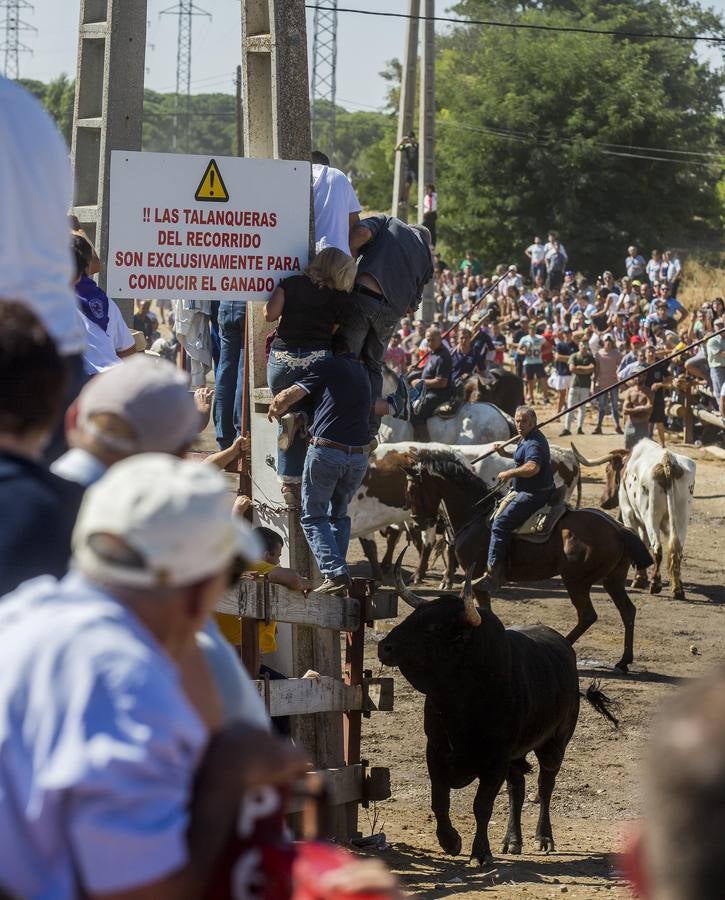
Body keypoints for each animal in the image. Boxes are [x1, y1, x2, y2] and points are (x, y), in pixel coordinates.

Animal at [378, 556, 616, 872]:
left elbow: (482, 805)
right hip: (517, 754)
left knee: (545, 786)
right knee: (518, 787)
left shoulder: (496, 759)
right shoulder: (436, 750)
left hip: (554, 744)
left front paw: (480, 852)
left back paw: (543, 837)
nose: (384, 646)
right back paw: (512, 840)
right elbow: (439, 800)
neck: (461, 701)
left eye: (435, 627)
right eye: (413, 616)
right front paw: (450, 841)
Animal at [404, 446, 652, 672]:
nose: (417, 521)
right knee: (627, 611)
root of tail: (619, 528)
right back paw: (623, 661)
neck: (475, 514)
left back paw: (566, 645)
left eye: (413, 487)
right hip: (612, 580)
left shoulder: (475, 576)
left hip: (576, 581)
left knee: (587, 615)